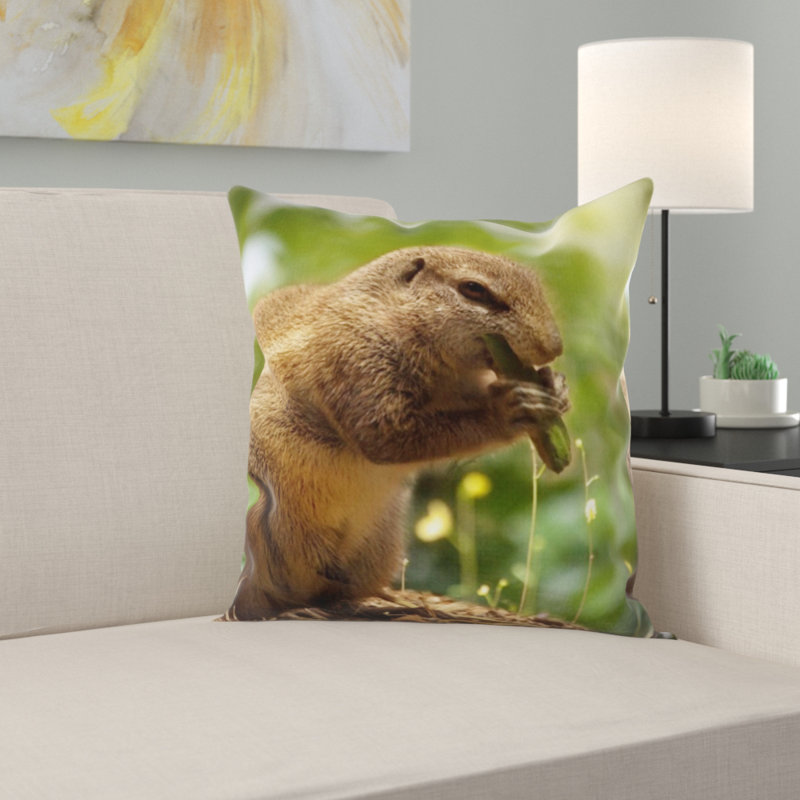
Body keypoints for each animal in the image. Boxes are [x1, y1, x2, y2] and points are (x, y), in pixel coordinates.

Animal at [224, 246, 570, 620]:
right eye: (474, 289)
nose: (554, 347)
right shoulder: (352, 359)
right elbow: (386, 436)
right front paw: (508, 408)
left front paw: (555, 386)